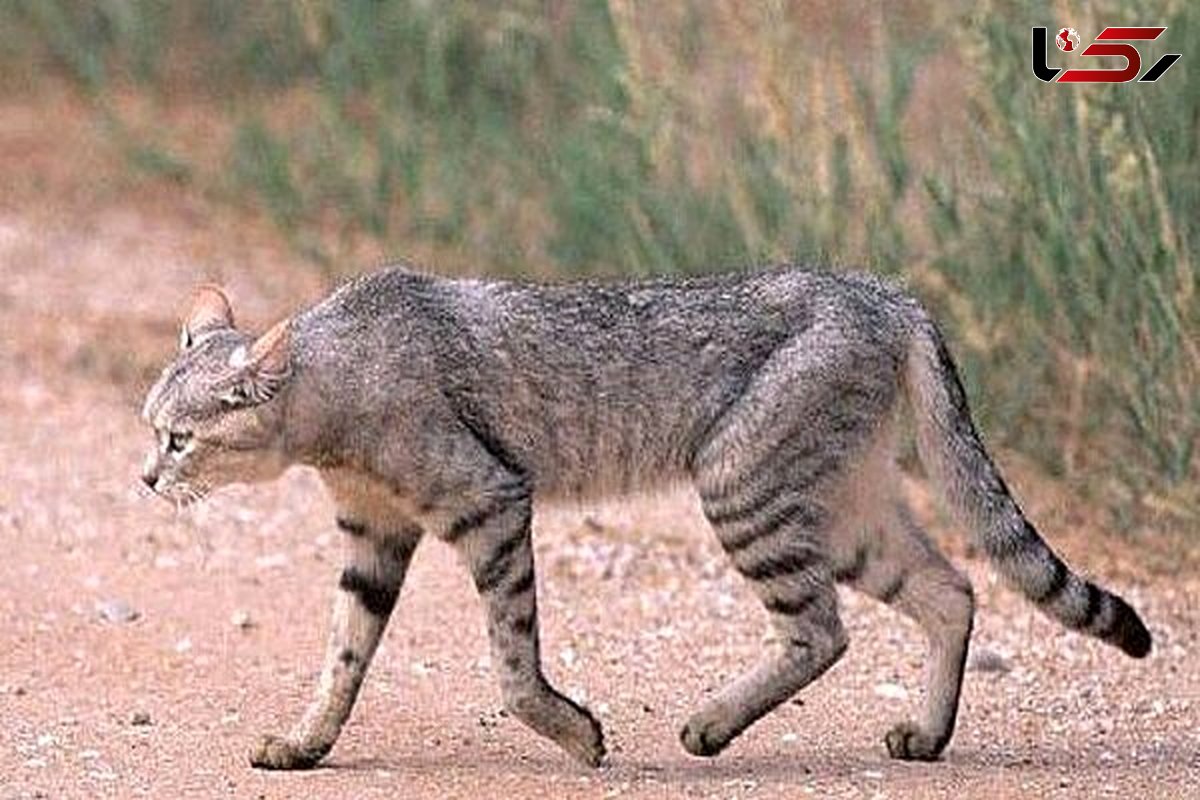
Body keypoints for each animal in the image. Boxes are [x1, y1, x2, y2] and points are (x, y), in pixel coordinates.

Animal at [140, 266, 1152, 772]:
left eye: (182, 440)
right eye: (152, 427)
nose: (147, 477)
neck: (331, 398)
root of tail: (888, 293)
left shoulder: (490, 501)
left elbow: (513, 664)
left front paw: (574, 734)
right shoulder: (374, 534)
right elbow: (343, 654)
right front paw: (307, 743)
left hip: (743, 483)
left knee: (823, 631)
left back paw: (711, 727)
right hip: (842, 504)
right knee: (951, 589)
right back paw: (927, 736)